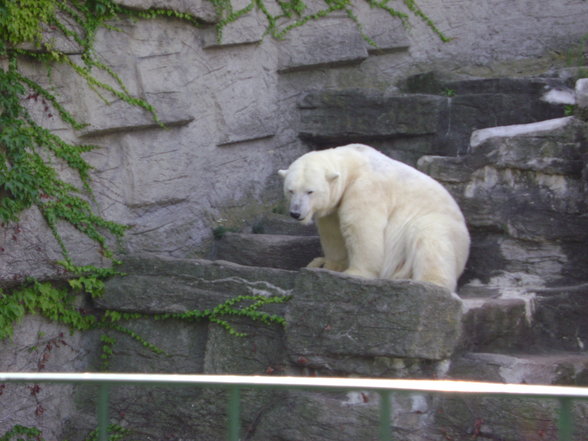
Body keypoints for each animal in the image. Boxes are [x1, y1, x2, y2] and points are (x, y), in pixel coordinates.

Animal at [278, 143, 470, 290]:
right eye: (290, 190)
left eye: (310, 191)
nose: (296, 213)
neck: (355, 162)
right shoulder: (335, 206)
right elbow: (332, 233)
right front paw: (331, 265)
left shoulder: (366, 188)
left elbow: (361, 228)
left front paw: (355, 273)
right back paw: (317, 262)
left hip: (443, 228)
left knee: (429, 235)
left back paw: (429, 282)